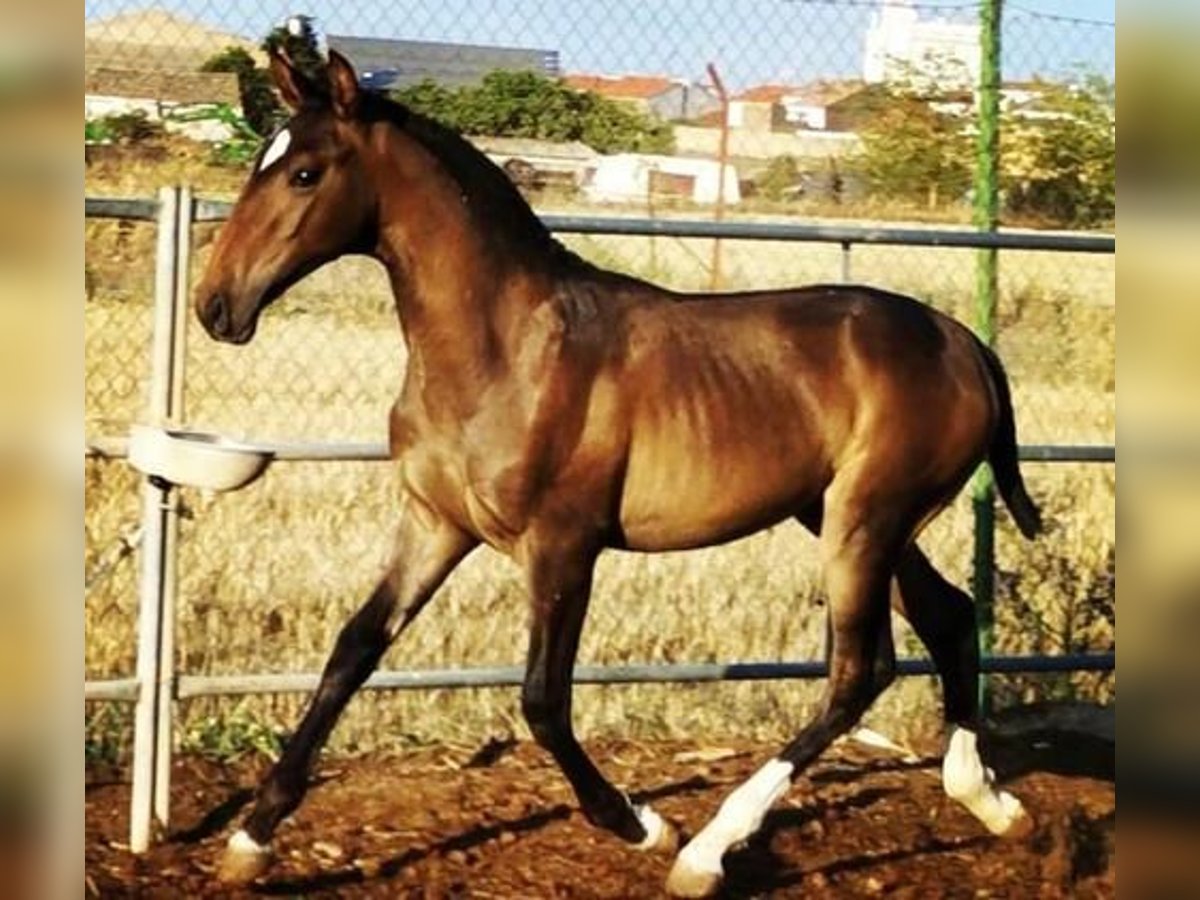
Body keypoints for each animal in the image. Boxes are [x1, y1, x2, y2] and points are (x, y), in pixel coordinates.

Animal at [194, 51, 1041, 900]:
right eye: (261, 158)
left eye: (304, 172)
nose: (215, 305)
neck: (507, 350)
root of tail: (967, 344)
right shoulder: (436, 525)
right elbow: (354, 650)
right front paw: (250, 839)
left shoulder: (563, 545)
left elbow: (542, 699)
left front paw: (640, 823)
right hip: (848, 518)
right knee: (948, 615)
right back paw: (990, 802)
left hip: (866, 521)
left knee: (860, 670)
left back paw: (706, 853)